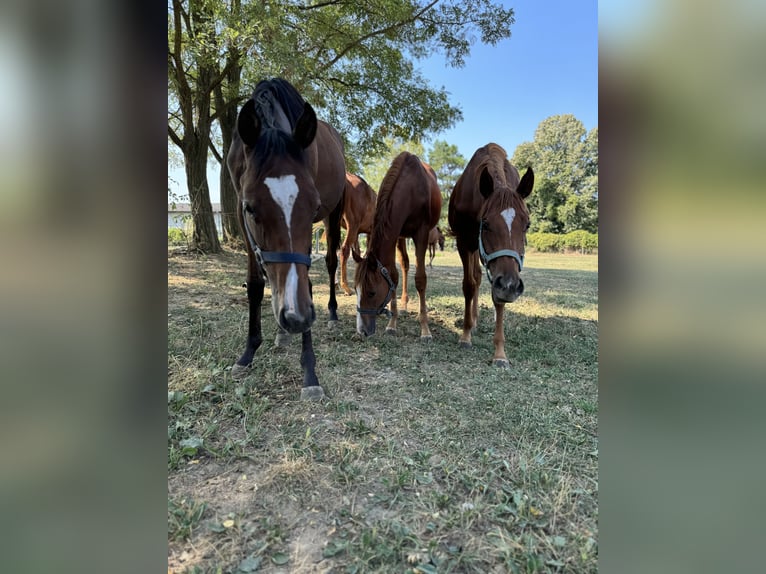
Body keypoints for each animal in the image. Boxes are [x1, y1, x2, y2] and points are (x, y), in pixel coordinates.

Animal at [226, 79, 346, 402]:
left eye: (313, 206)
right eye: (251, 208)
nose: (297, 318)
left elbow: (307, 281)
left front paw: (310, 373)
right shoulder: (241, 217)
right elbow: (256, 286)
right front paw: (247, 353)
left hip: (335, 214)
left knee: (332, 261)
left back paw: (331, 313)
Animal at [356, 153, 444, 342]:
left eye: (372, 293)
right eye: (355, 290)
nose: (362, 331)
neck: (410, 188)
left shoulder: (422, 233)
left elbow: (420, 279)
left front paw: (425, 330)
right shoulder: (396, 234)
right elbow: (394, 276)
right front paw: (392, 323)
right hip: (403, 238)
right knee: (404, 264)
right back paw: (403, 305)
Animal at [448, 144, 536, 368]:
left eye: (527, 225)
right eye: (486, 223)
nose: (510, 285)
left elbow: (497, 298)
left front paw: (499, 353)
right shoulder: (464, 243)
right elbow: (469, 286)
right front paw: (465, 335)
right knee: (475, 279)